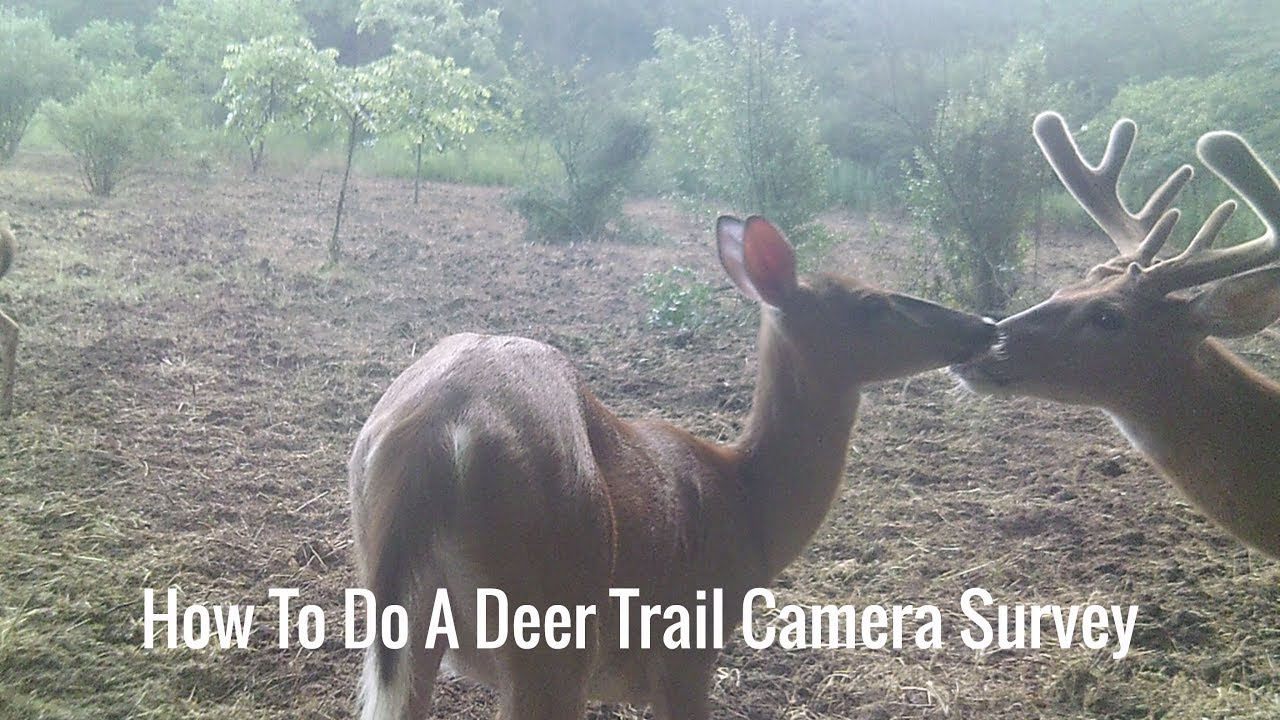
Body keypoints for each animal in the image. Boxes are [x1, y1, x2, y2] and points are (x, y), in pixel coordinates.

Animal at [349, 215, 997, 720]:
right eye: (871, 304)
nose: (984, 326)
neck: (748, 507)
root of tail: (438, 431)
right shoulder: (687, 646)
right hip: (553, 615)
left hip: (410, 617)